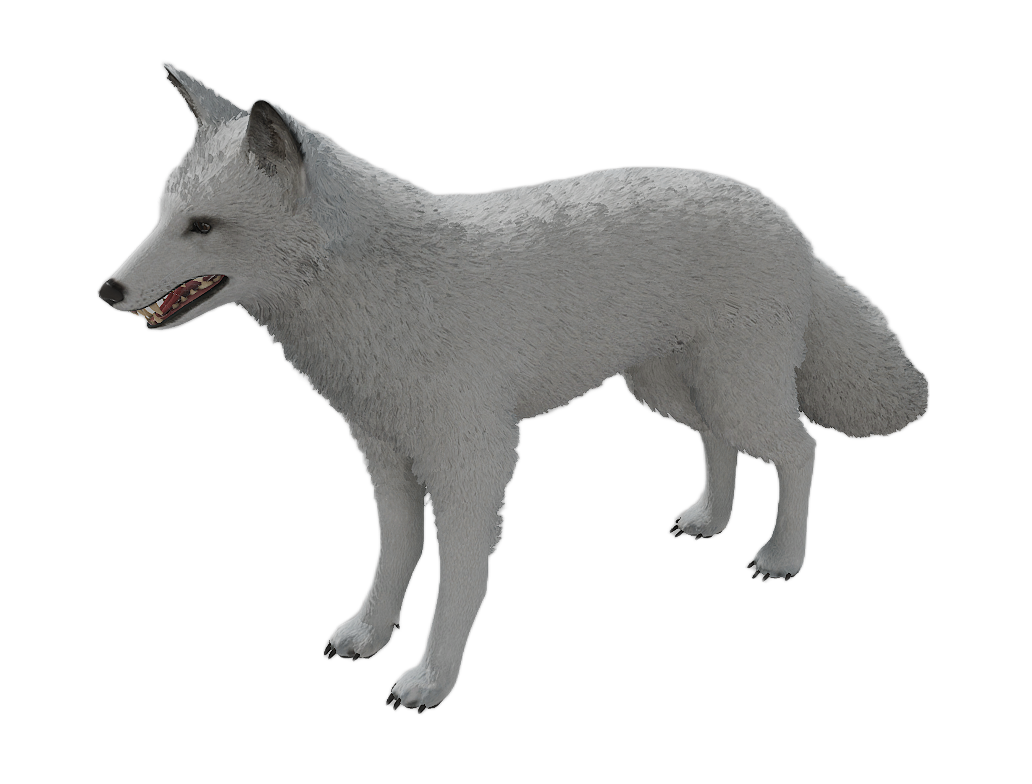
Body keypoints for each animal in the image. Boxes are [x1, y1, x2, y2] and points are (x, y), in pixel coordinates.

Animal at [97, 61, 929, 714]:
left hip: (736, 387)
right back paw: (708, 520)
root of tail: (783, 216)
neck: (378, 288)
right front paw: (368, 635)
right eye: (161, 216)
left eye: (203, 227)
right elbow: (395, 555)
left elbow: (458, 577)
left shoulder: (476, 460)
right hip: (667, 388)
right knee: (720, 443)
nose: (108, 290)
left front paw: (430, 681)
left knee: (800, 447)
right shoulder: (385, 456)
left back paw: (782, 556)